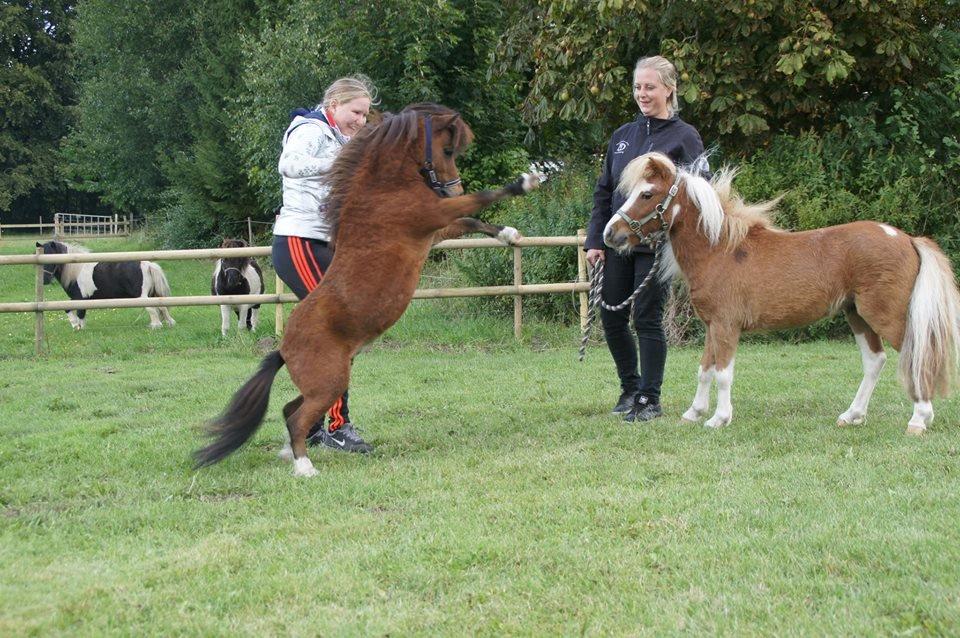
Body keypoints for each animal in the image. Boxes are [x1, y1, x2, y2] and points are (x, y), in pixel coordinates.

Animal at [34, 240, 176, 330]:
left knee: (152, 309)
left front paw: (76, 326)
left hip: (142, 297)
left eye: (52, 258)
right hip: (153, 295)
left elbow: (75, 313)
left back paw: (156, 326)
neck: (76, 269)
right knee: (163, 307)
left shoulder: (79, 298)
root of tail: (147, 264)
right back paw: (170, 323)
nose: (45, 280)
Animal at [195, 104, 540, 476]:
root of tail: (283, 349)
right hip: (329, 382)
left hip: (323, 384)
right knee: (298, 418)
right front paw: (526, 181)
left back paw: (291, 453)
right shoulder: (432, 214)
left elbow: (471, 222)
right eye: (448, 150)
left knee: (290, 410)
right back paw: (305, 467)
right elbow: (480, 201)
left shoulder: (435, 229)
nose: (454, 189)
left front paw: (509, 234)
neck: (383, 189)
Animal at [604, 152, 956, 438]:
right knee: (875, 361)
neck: (720, 250)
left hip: (884, 315)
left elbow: (723, 374)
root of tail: (907, 239)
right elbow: (705, 370)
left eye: (647, 193)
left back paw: (919, 420)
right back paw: (852, 415)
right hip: (857, 314)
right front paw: (694, 413)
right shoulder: (712, 326)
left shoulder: (726, 326)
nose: (610, 234)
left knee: (917, 355)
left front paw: (719, 419)